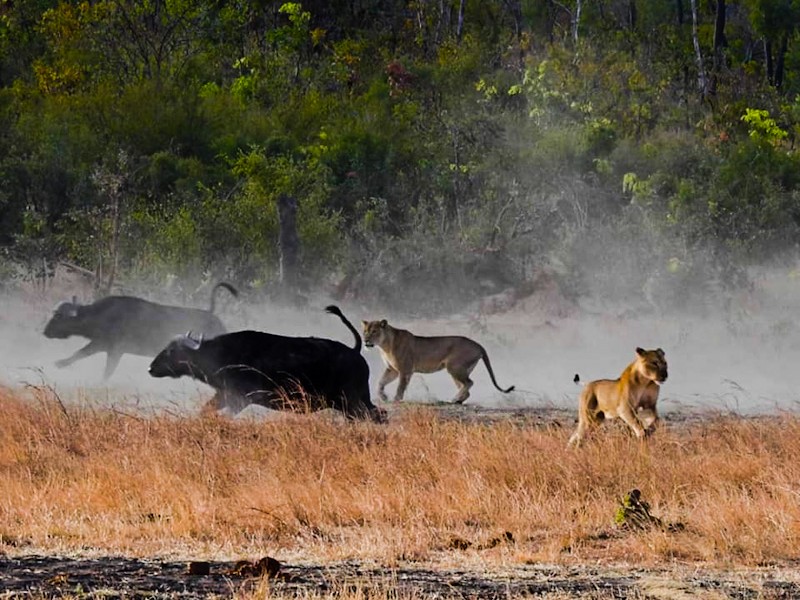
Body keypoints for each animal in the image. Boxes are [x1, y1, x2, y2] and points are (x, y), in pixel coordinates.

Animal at [44, 282, 238, 378]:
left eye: (58, 316)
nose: (45, 331)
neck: (102, 316)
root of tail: (212, 315)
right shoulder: (107, 347)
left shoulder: (110, 348)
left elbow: (84, 355)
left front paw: (60, 363)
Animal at [151, 304, 388, 422]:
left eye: (172, 351)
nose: (151, 368)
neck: (224, 355)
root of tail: (354, 350)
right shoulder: (223, 394)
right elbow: (205, 410)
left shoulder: (239, 399)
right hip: (352, 402)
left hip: (351, 400)